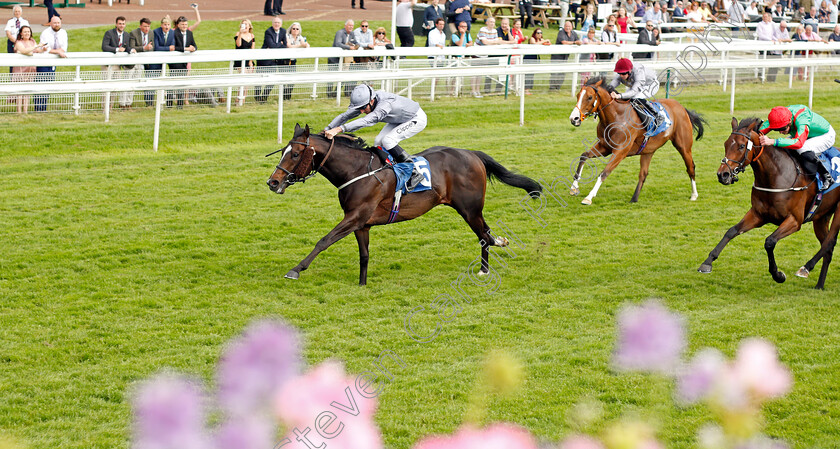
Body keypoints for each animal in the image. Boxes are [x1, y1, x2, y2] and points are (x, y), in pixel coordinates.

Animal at [270, 123, 544, 284]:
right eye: (283, 151)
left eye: (296, 154)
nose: (273, 182)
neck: (357, 171)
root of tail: (472, 154)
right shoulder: (361, 223)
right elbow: (364, 255)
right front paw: (362, 284)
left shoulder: (355, 216)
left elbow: (324, 240)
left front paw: (296, 269)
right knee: (485, 234)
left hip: (470, 209)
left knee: (485, 236)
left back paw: (486, 267)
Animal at [568, 75, 704, 205]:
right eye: (578, 95)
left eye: (590, 97)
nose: (574, 119)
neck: (616, 116)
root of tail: (681, 107)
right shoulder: (604, 146)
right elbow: (584, 156)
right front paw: (574, 187)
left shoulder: (620, 152)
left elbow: (604, 172)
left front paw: (588, 197)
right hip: (648, 151)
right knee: (643, 174)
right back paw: (634, 199)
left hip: (683, 146)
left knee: (690, 167)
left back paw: (694, 195)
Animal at [700, 117, 840, 288]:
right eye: (726, 144)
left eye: (741, 146)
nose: (723, 175)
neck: (777, 175)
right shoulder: (758, 214)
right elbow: (731, 231)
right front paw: (707, 262)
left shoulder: (795, 221)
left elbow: (769, 241)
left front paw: (778, 275)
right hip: (821, 217)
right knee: (828, 248)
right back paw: (819, 285)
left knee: (829, 242)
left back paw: (806, 268)